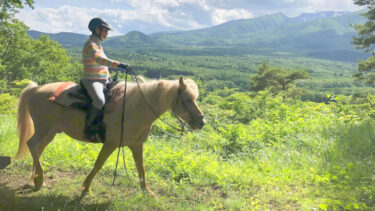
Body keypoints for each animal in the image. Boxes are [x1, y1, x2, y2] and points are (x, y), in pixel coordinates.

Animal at [15, 76, 206, 196]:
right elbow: (98, 165)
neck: (136, 108)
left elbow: (141, 168)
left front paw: (146, 191)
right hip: (44, 129)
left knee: (37, 149)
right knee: (32, 145)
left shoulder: (137, 145)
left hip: (50, 132)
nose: (201, 122)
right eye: (187, 99)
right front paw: (85, 188)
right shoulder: (111, 143)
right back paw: (39, 178)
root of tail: (35, 89)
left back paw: (35, 180)